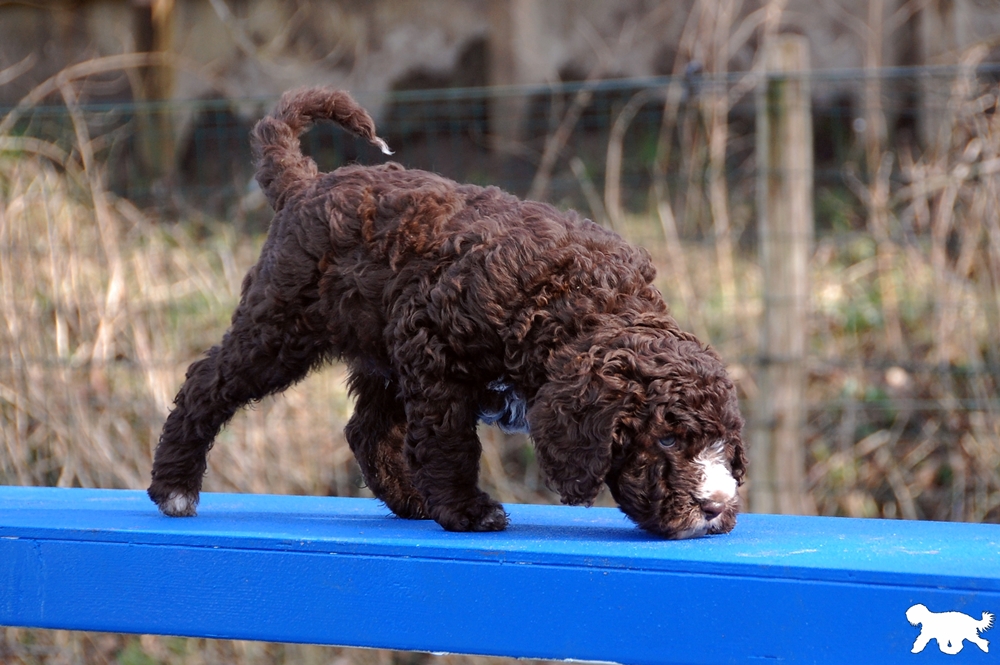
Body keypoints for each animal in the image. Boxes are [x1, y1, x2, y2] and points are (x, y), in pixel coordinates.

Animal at [147, 87, 747, 538]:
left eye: (722, 443)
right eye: (666, 440)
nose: (716, 507)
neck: (576, 305)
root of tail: (308, 182)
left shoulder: (419, 351)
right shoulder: (434, 348)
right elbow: (448, 440)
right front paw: (466, 510)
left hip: (378, 351)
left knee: (365, 430)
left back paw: (411, 500)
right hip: (280, 323)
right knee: (208, 381)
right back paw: (175, 486)